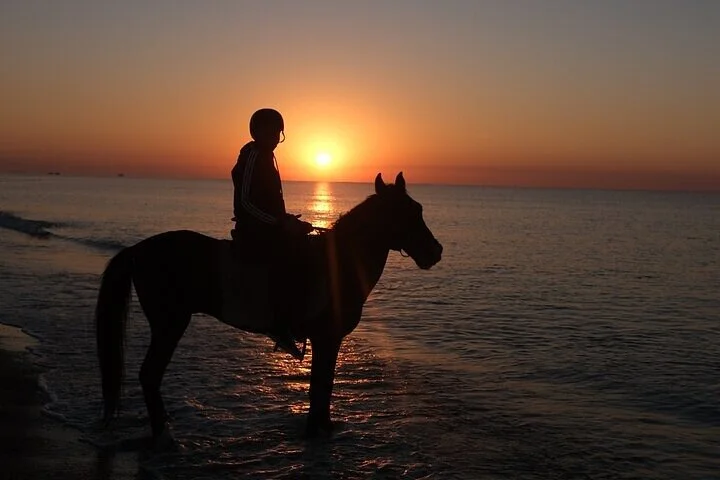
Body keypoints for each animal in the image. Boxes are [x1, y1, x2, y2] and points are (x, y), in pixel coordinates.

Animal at [95, 172, 443, 443]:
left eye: (418, 209)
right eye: (405, 213)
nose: (435, 251)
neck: (338, 262)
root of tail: (138, 250)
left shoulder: (327, 341)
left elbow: (323, 385)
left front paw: (324, 427)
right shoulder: (327, 339)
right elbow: (320, 385)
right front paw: (316, 431)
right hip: (170, 324)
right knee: (149, 374)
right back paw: (163, 435)